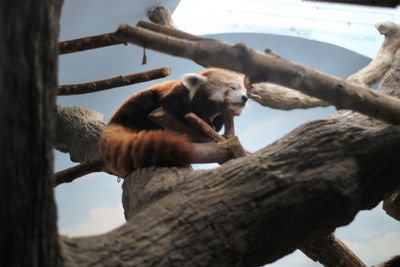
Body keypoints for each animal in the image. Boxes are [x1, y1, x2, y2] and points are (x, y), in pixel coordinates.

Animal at [99, 67, 247, 176]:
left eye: (243, 89)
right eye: (232, 88)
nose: (245, 97)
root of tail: (114, 121)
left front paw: (213, 127)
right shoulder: (176, 96)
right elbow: (176, 108)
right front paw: (203, 123)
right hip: (138, 105)